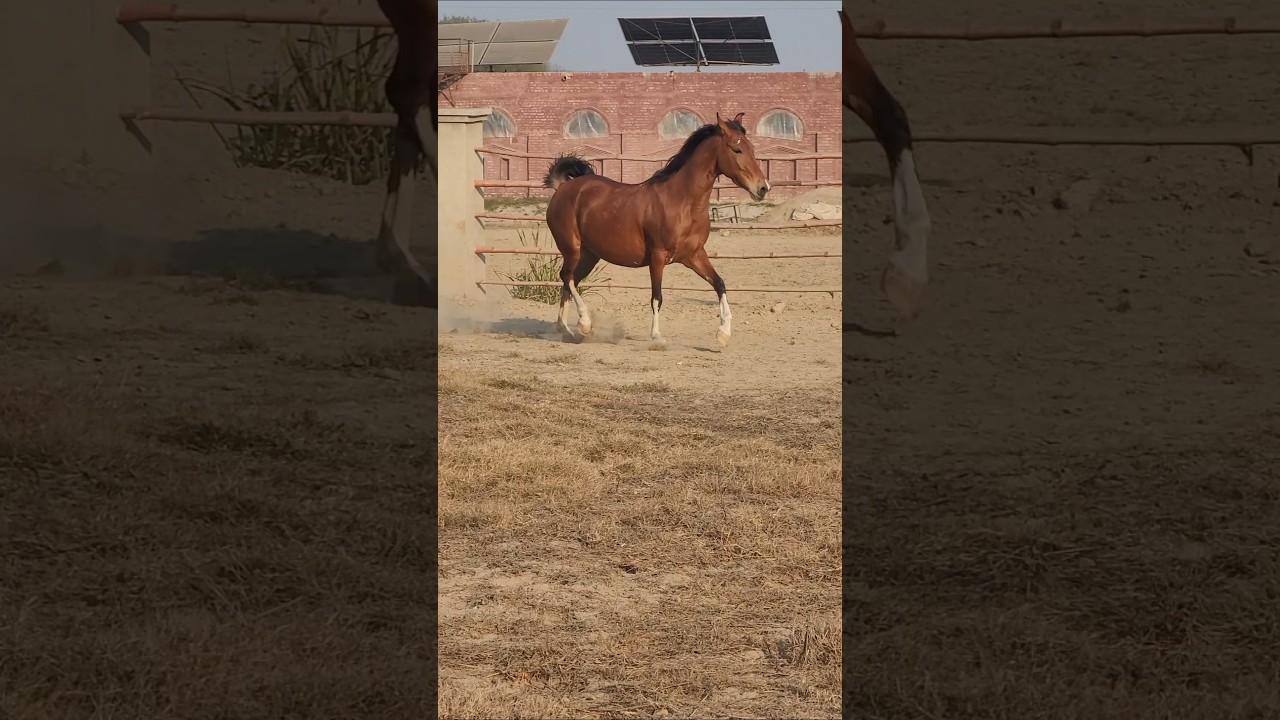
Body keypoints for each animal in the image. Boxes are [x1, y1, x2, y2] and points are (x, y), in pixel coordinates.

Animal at [542, 113, 770, 348]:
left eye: (752, 148)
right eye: (737, 149)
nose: (763, 188)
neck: (682, 202)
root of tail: (563, 187)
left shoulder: (695, 255)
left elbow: (719, 284)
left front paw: (723, 333)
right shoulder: (658, 256)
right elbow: (657, 296)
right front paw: (657, 337)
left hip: (589, 255)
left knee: (570, 282)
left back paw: (566, 330)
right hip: (572, 248)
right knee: (567, 277)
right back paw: (583, 324)